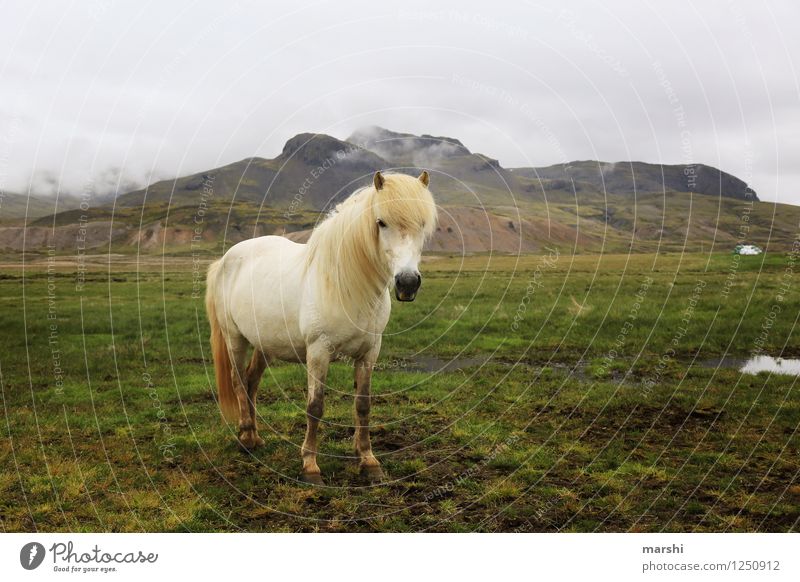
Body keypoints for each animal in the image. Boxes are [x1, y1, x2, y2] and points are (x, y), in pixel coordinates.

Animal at [203, 171, 434, 486]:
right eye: (381, 222)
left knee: (251, 382)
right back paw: (247, 438)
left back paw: (254, 437)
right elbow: (315, 407)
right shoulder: (318, 352)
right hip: (235, 338)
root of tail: (225, 259)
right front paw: (310, 467)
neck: (345, 284)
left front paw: (368, 461)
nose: (407, 283)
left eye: (422, 224)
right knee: (238, 382)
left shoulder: (369, 352)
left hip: (264, 343)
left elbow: (363, 405)